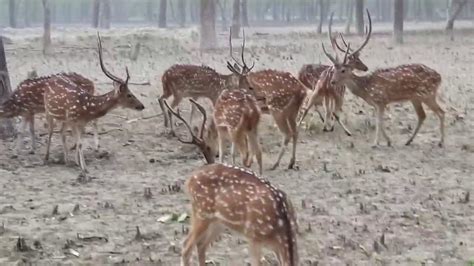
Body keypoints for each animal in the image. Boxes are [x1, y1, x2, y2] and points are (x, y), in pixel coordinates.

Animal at [44, 33, 144, 170]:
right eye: (129, 95)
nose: (142, 106)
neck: (88, 108)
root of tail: (50, 79)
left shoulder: (81, 123)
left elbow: (80, 141)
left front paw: (78, 163)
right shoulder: (73, 119)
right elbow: (80, 143)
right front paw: (84, 168)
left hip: (63, 118)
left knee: (61, 132)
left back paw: (66, 160)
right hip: (48, 110)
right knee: (50, 131)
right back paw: (46, 158)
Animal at [161, 99, 298, 266]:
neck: (279, 228)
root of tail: (189, 180)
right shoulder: (253, 236)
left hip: (218, 220)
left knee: (201, 244)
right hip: (201, 212)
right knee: (186, 246)